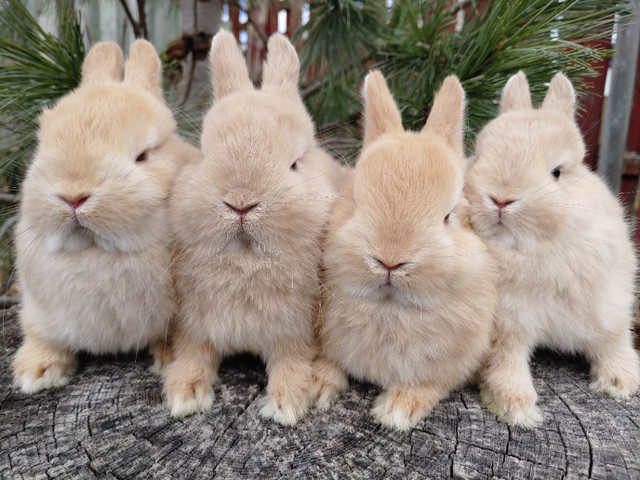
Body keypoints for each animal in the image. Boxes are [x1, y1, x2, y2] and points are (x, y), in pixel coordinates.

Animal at [11, 39, 198, 394]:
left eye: (142, 156)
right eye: (43, 145)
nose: (73, 195)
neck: (97, 251)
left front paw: (167, 358)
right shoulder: (37, 312)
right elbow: (43, 337)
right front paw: (36, 373)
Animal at [162, 30, 348, 424]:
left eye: (295, 163)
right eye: (203, 154)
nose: (241, 203)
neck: (246, 260)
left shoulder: (293, 333)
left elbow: (291, 362)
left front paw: (288, 404)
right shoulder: (196, 325)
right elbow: (194, 355)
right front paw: (184, 395)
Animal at [312, 70, 498, 432]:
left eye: (449, 216)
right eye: (354, 201)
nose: (390, 260)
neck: (391, 309)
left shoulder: (450, 366)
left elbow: (426, 386)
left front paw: (396, 412)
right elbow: (330, 364)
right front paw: (314, 387)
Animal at [464, 71, 640, 428]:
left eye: (557, 172)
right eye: (478, 156)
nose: (501, 198)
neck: (528, 251)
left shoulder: (609, 304)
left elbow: (613, 339)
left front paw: (621, 382)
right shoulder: (505, 326)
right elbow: (506, 361)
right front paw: (516, 407)